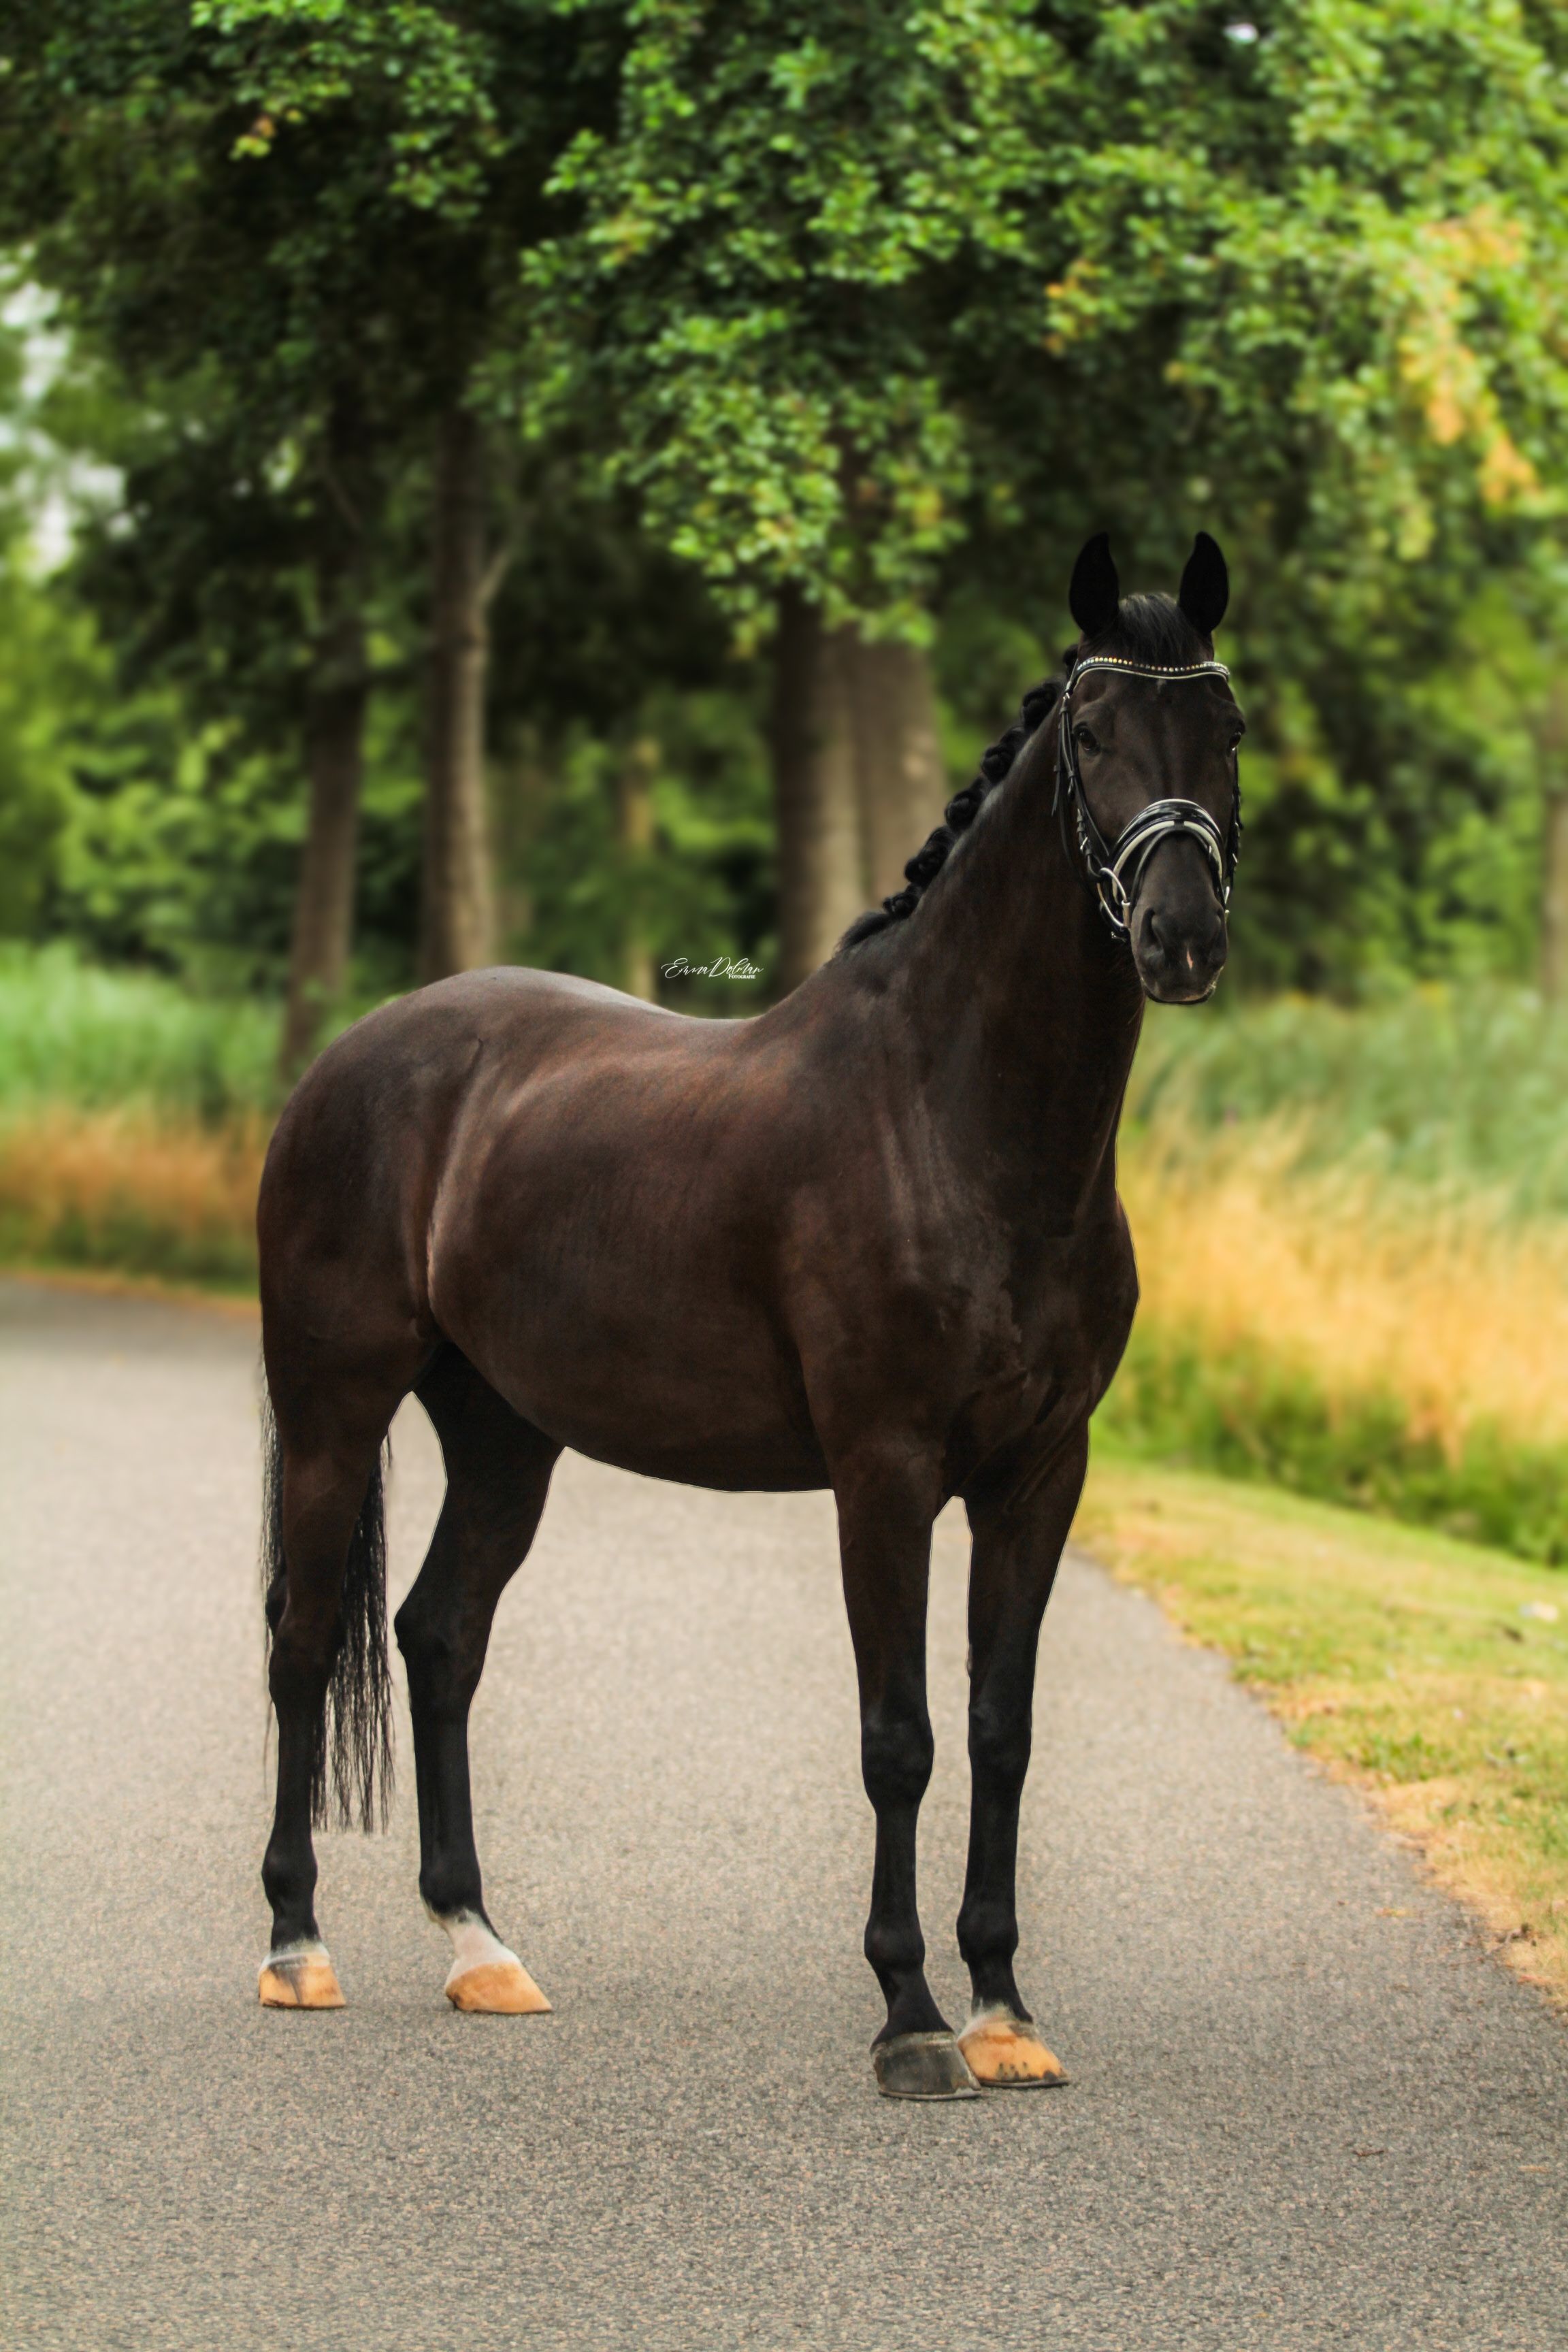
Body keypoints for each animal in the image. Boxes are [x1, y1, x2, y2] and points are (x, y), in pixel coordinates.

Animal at [255, 529, 1244, 2100]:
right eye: (1090, 735)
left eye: (1228, 730)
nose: (1182, 937)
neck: (954, 1123)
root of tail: (349, 1061)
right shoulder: (883, 1472)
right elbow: (899, 1738)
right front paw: (910, 2019)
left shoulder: (1040, 1474)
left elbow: (1001, 1732)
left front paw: (1004, 2007)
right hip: (332, 1408)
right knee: (303, 1641)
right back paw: (297, 1947)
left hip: (504, 1437)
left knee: (438, 1637)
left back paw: (481, 1948)